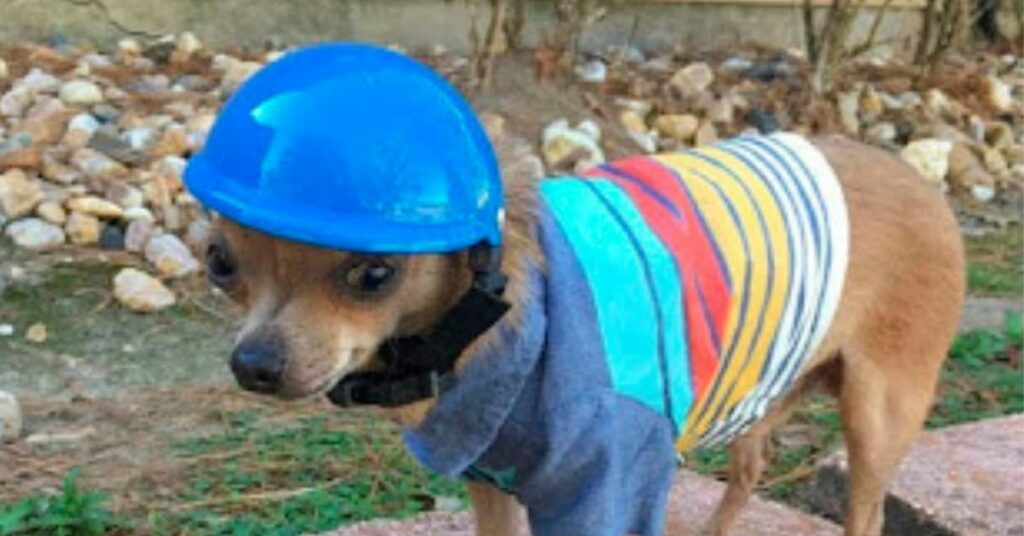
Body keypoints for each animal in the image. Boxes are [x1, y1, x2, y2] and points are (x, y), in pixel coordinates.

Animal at [203, 131, 962, 536]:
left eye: (374, 273)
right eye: (220, 263)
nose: (252, 363)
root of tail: (923, 182)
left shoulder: (604, 490)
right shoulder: (494, 485)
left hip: (878, 416)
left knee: (866, 513)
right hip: (760, 387)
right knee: (750, 468)